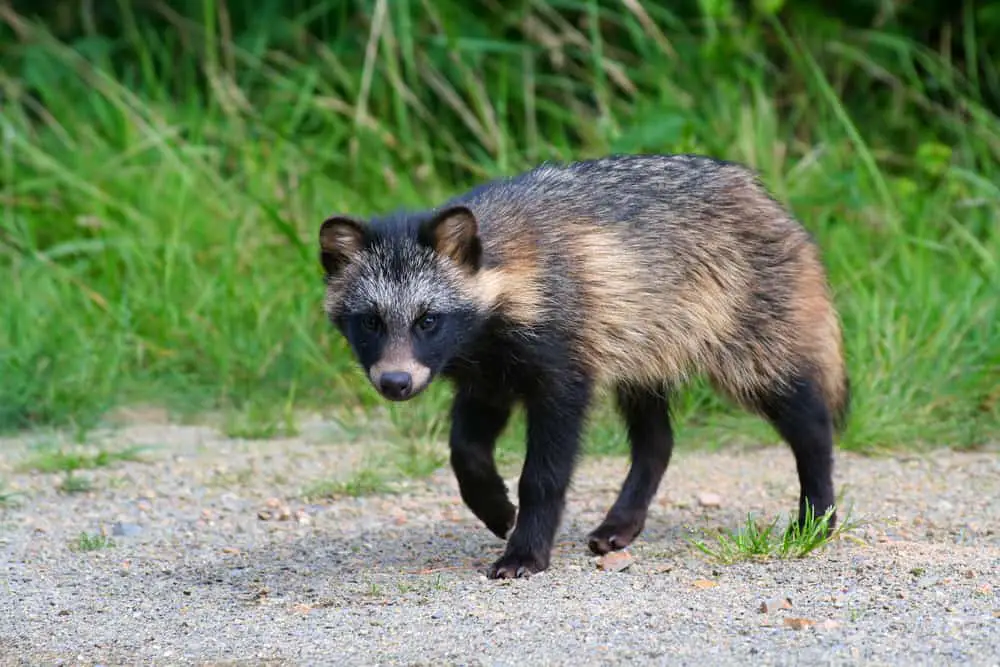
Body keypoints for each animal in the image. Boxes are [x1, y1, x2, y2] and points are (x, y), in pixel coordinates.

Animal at [316, 154, 848, 580]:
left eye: (428, 319)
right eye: (370, 322)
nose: (395, 382)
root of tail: (765, 198)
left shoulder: (560, 354)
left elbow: (545, 470)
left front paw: (526, 548)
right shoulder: (487, 371)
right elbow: (465, 447)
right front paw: (492, 503)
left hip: (747, 315)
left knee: (799, 408)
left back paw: (816, 508)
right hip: (646, 343)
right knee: (655, 440)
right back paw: (622, 519)